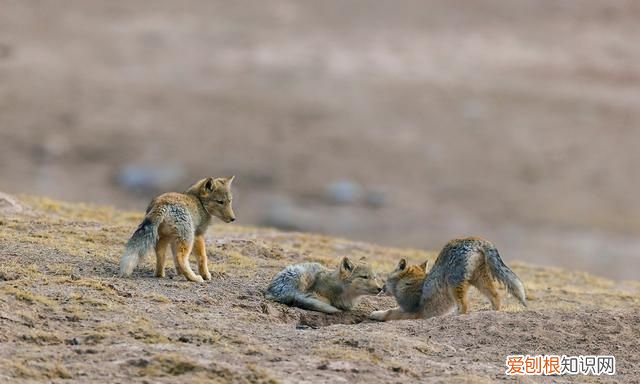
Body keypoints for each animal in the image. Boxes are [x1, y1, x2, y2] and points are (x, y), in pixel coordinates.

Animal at [370, 237, 524, 320]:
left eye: (385, 279)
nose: (380, 288)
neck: (412, 282)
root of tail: (473, 239)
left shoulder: (413, 312)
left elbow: (390, 312)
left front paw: (376, 314)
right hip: (479, 280)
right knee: (496, 296)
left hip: (454, 285)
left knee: (464, 306)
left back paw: (454, 316)